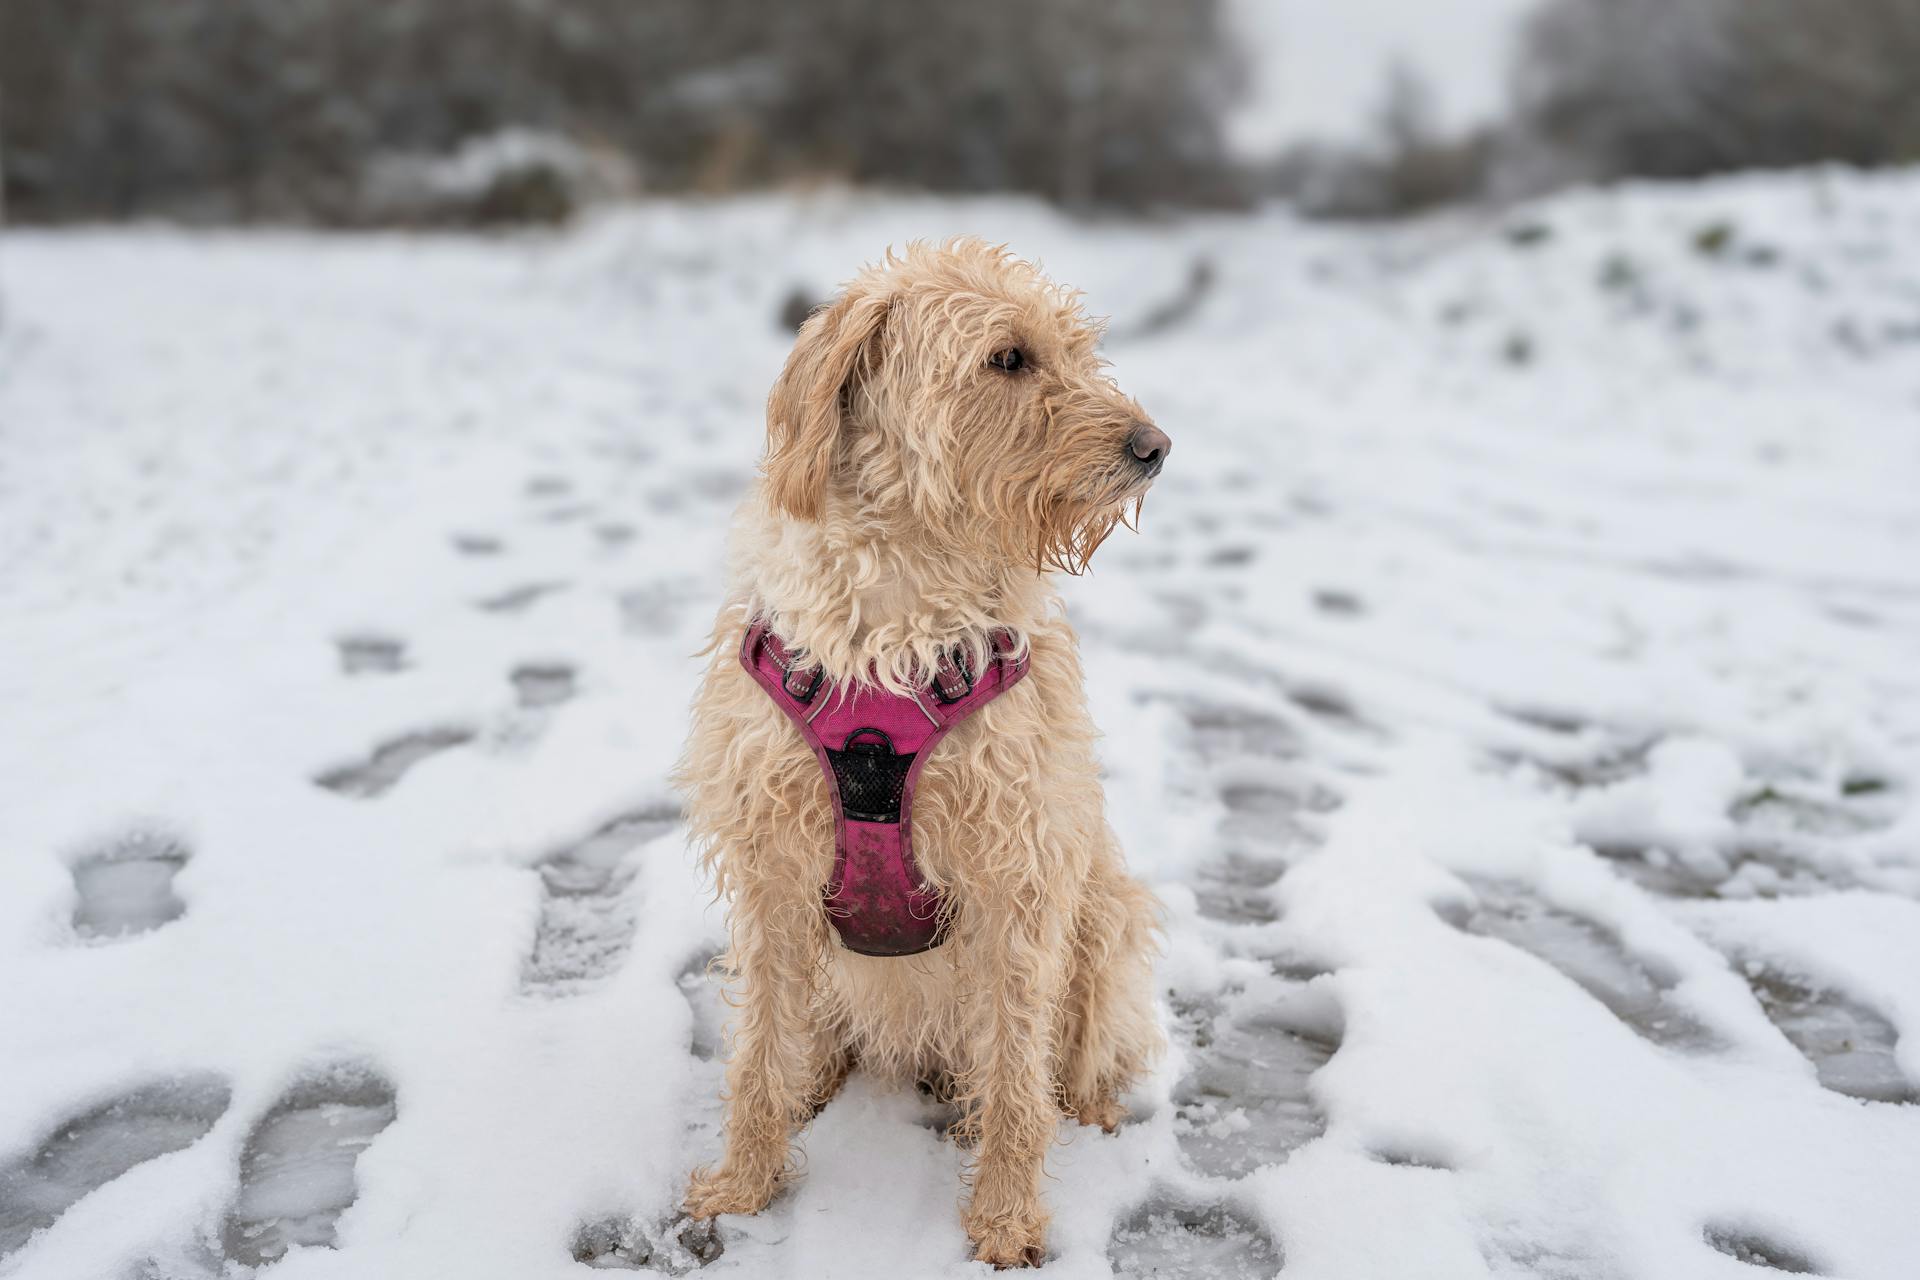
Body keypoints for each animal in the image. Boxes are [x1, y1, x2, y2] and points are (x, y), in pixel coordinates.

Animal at [683, 239, 1175, 1274]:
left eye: (1076, 350)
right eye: (1008, 359)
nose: (1154, 447)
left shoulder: (1020, 877)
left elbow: (1019, 1081)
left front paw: (1005, 1222)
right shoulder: (773, 874)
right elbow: (756, 1058)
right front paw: (742, 1187)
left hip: (1105, 911)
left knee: (1064, 1062)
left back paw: (1086, 1112)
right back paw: (818, 1079)